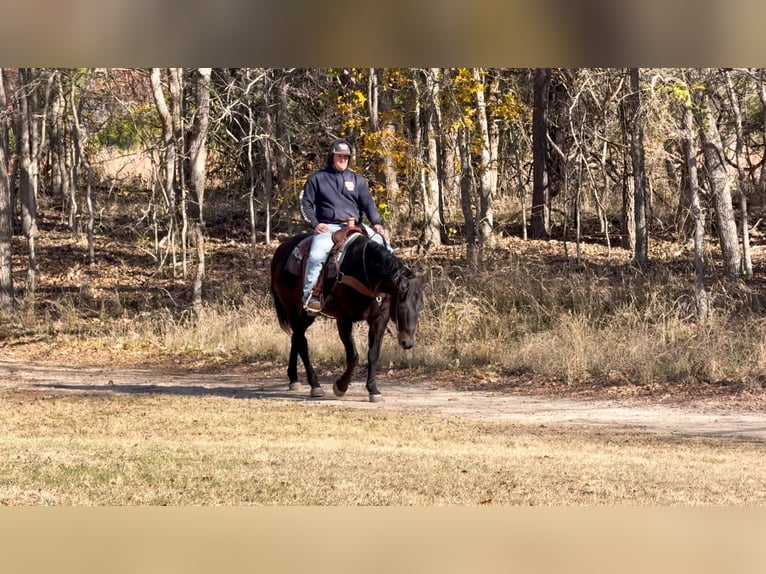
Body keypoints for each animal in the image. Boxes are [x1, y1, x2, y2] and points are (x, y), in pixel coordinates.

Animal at [269, 230, 423, 402]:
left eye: (419, 306)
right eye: (401, 302)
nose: (407, 342)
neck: (365, 272)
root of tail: (281, 249)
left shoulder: (379, 319)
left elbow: (373, 354)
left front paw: (373, 390)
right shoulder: (344, 319)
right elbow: (353, 356)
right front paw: (340, 386)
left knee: (296, 338)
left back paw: (294, 380)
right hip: (297, 310)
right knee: (301, 341)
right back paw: (315, 385)